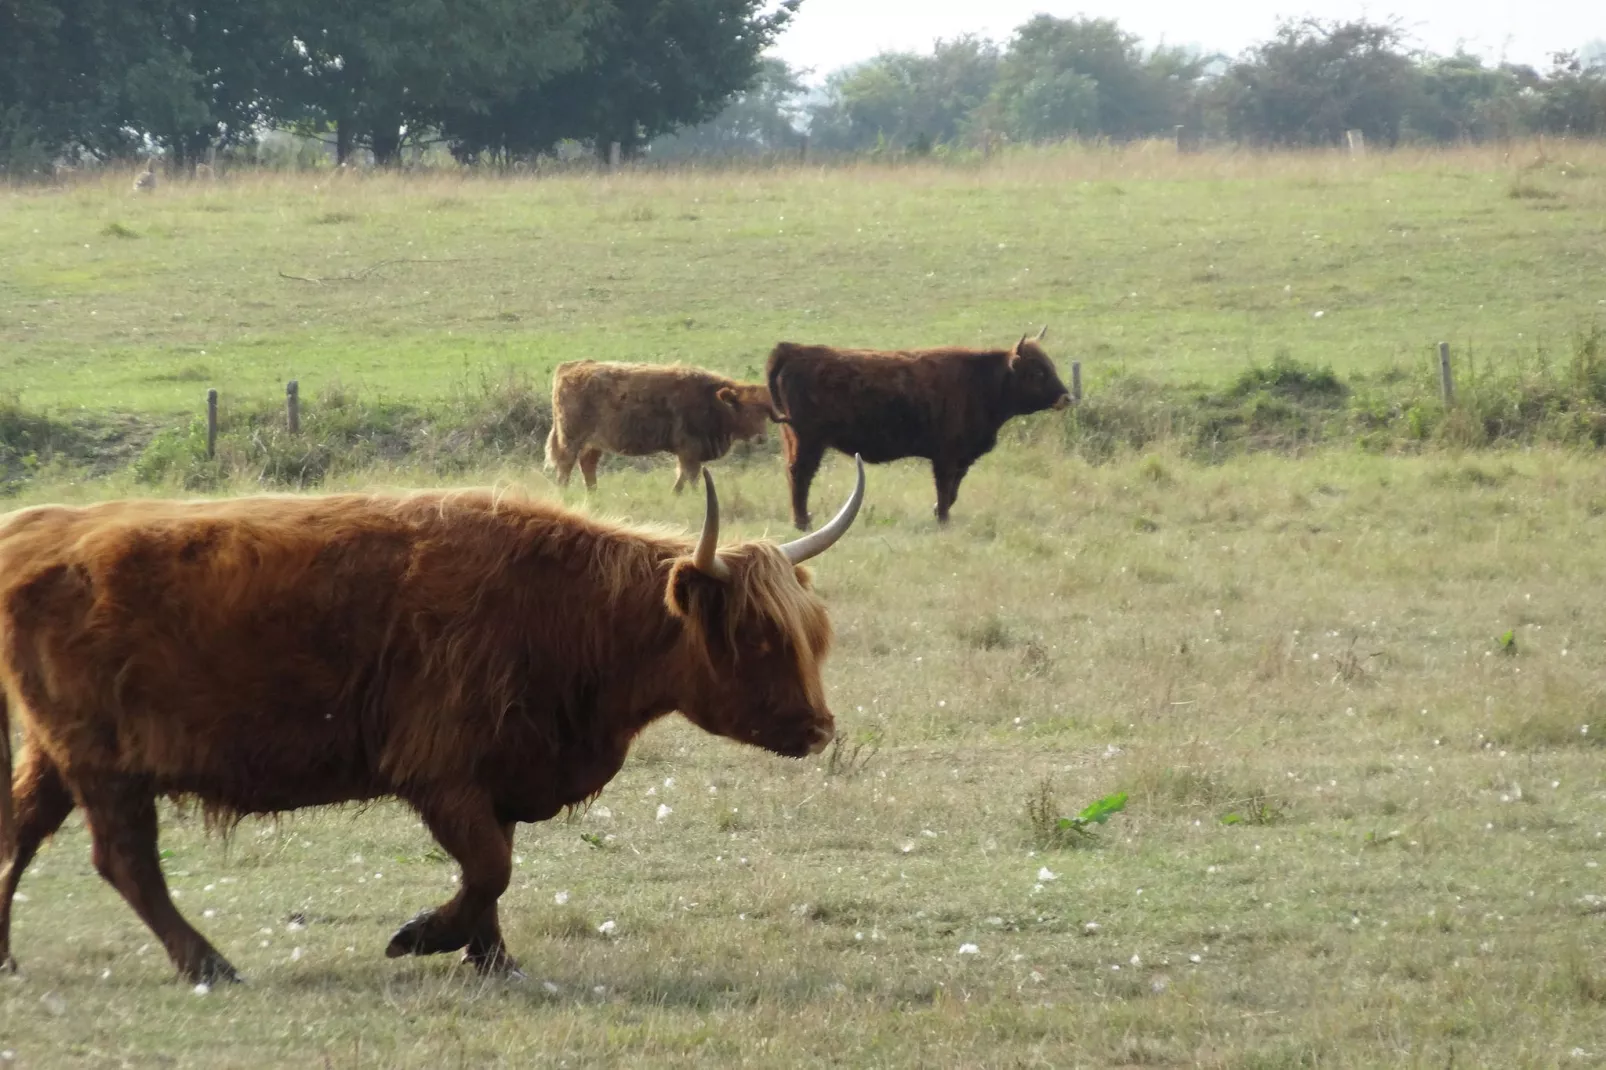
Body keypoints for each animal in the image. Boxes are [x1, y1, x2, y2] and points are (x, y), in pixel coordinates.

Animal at [0, 459, 867, 983]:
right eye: (757, 637)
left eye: (810, 635)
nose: (817, 727)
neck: (565, 612)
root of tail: (35, 527)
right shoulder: (441, 769)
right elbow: (489, 868)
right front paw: (422, 937)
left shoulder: (499, 773)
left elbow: (494, 871)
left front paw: (492, 958)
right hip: (103, 763)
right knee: (126, 861)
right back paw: (208, 963)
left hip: (55, 754)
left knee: (21, 830)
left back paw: (9, 958)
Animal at [546, 358, 783, 491]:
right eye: (743, 409)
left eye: (764, 412)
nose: (761, 437)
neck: (711, 399)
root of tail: (571, 367)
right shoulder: (690, 451)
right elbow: (692, 478)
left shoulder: (687, 454)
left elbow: (682, 479)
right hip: (571, 439)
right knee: (565, 466)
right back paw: (564, 492)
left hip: (594, 444)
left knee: (587, 465)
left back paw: (593, 493)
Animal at [770, 324, 1072, 523]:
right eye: (1038, 371)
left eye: (1050, 366)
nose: (1067, 397)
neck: (981, 381)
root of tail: (793, 350)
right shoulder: (946, 455)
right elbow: (945, 487)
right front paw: (942, 518)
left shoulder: (961, 457)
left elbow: (953, 489)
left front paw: (939, 512)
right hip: (808, 441)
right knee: (800, 475)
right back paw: (803, 521)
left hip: (793, 439)